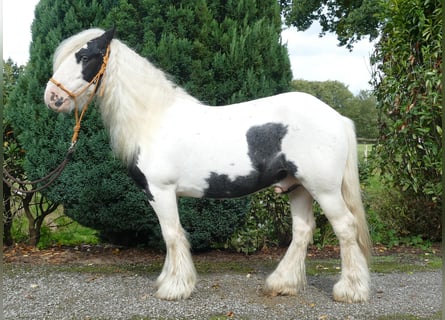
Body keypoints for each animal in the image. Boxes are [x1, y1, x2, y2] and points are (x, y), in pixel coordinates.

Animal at [45, 28, 372, 302]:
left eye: (84, 56)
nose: (52, 97)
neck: (154, 120)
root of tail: (337, 117)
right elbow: (171, 235)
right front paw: (168, 280)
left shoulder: (160, 191)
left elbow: (172, 234)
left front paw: (175, 287)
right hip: (298, 187)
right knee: (303, 231)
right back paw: (282, 284)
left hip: (324, 189)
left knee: (345, 227)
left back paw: (351, 291)